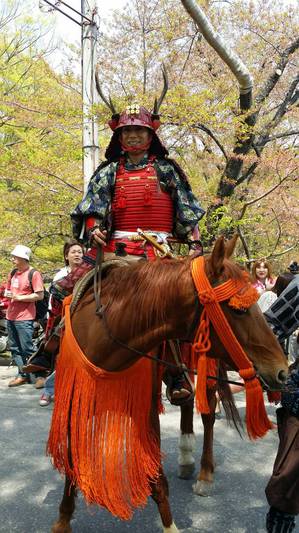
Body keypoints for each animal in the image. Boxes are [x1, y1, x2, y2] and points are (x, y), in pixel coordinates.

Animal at [51, 238, 288, 532]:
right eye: (239, 309)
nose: (282, 371)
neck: (106, 333)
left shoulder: (145, 407)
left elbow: (156, 476)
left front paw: (169, 525)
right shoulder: (74, 398)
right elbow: (71, 461)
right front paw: (63, 519)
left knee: (207, 413)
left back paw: (204, 473)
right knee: (185, 398)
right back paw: (186, 456)